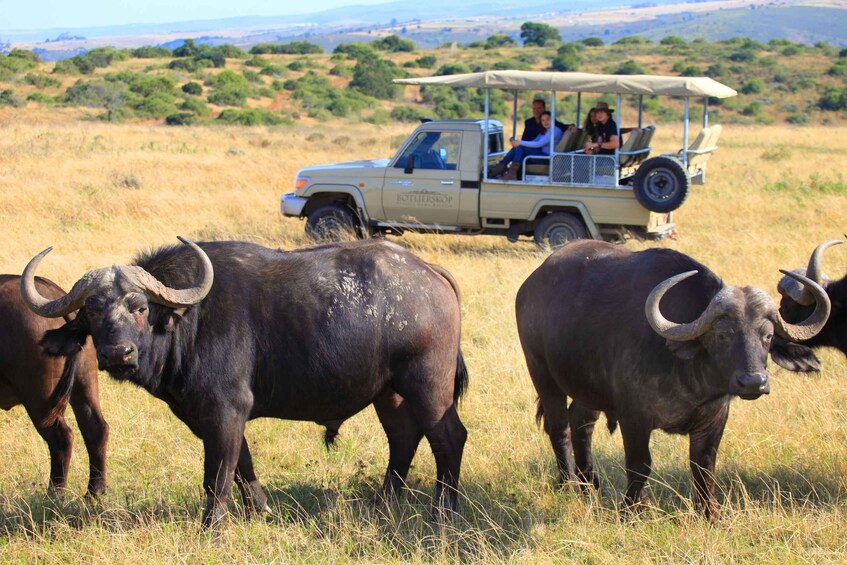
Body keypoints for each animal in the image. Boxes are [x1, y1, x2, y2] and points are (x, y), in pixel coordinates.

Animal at [0, 276, 107, 496]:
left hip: (40, 398)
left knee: (61, 439)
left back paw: (54, 494)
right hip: (84, 384)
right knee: (96, 429)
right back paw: (94, 492)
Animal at [21, 237, 470, 524]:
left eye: (139, 307)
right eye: (92, 312)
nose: (118, 354)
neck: (188, 321)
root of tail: (430, 273)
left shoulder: (225, 410)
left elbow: (217, 475)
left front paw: (212, 527)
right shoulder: (212, 417)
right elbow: (242, 466)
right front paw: (260, 511)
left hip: (427, 386)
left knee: (448, 436)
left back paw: (443, 510)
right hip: (388, 393)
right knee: (403, 437)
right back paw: (383, 502)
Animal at [512, 239, 832, 516]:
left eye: (766, 336)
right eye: (723, 335)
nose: (753, 382)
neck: (690, 378)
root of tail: (531, 285)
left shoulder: (714, 417)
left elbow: (704, 465)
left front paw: (709, 513)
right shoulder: (634, 416)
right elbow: (639, 464)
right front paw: (632, 510)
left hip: (588, 388)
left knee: (581, 423)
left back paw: (591, 485)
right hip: (542, 374)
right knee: (560, 428)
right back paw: (568, 484)